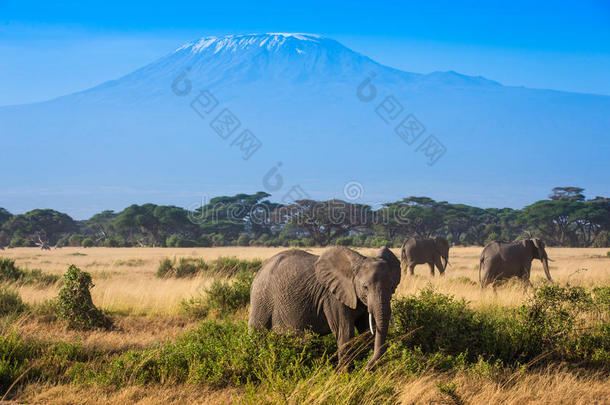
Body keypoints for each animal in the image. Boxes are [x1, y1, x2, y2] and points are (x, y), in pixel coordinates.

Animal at [247, 245, 400, 368]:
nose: (367, 367)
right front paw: (345, 374)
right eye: (365, 287)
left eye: (392, 287)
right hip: (261, 299)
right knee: (257, 333)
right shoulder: (332, 297)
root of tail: (258, 272)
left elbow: (366, 331)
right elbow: (345, 332)